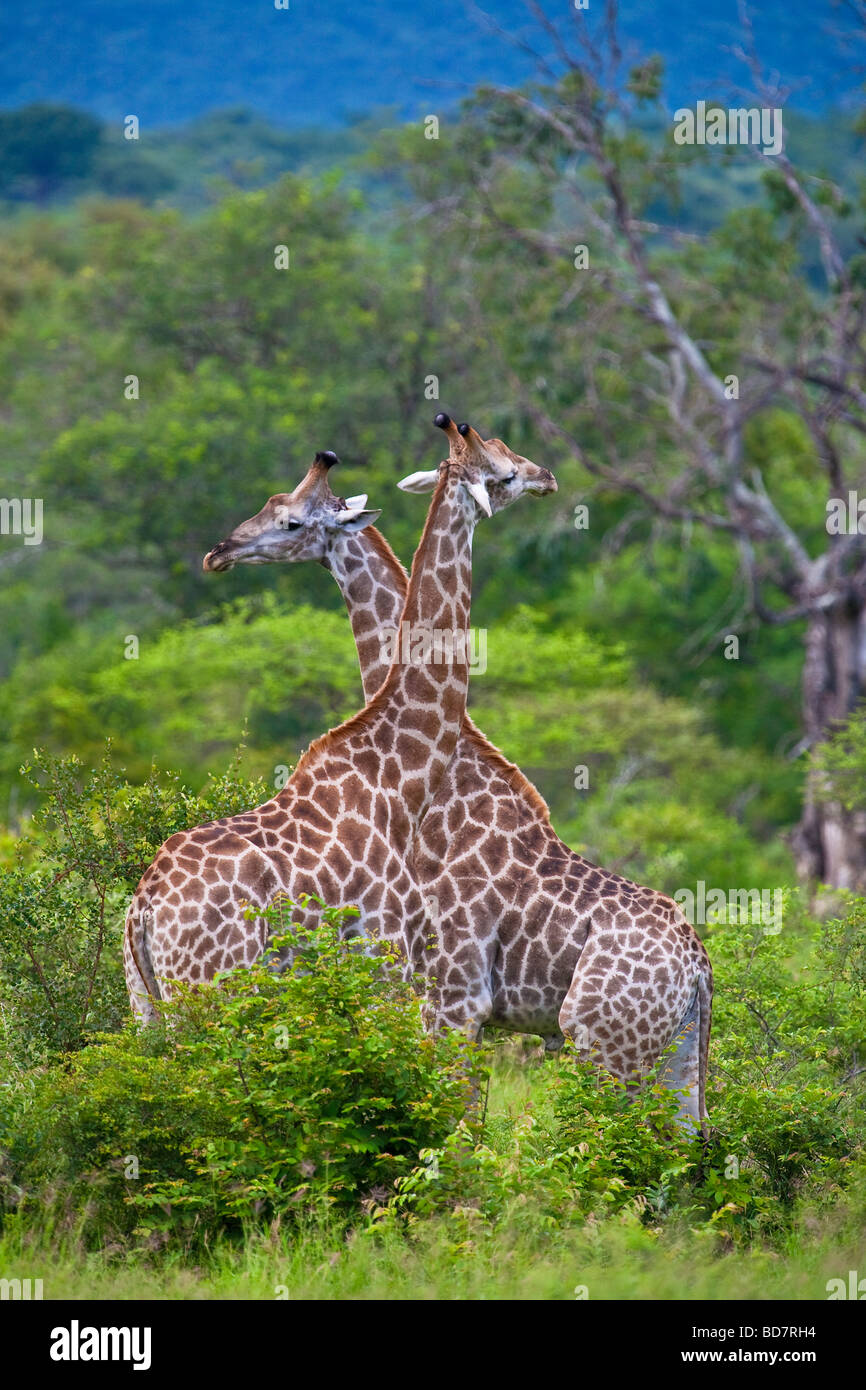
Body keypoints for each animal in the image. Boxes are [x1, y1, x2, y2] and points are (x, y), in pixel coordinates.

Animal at [123, 417, 556, 1039]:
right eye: (504, 470)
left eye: (284, 512)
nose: (217, 553)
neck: (399, 775)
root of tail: (145, 907)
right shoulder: (389, 959)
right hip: (214, 990)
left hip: (146, 1003)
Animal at [207, 419, 717, 1128]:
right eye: (274, 508)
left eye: (289, 522)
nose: (219, 551)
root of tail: (700, 969)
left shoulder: (447, 991)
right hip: (676, 1057)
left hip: (599, 1044)